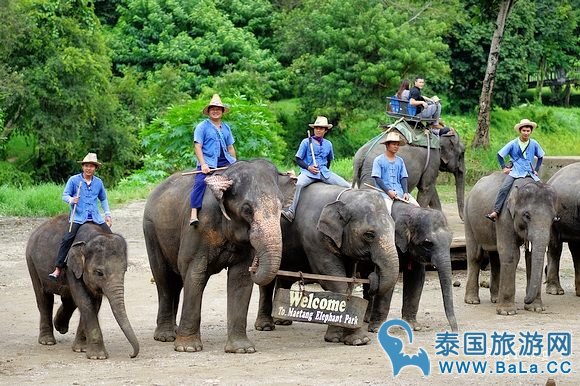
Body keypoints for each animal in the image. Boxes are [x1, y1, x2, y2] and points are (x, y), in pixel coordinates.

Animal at [26, 216, 139, 360]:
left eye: (125, 270)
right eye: (99, 273)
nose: (131, 355)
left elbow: (93, 302)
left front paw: (81, 349)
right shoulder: (70, 266)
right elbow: (85, 301)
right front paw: (98, 357)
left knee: (68, 300)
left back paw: (60, 327)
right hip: (31, 262)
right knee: (44, 299)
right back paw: (47, 341)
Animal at [143, 158, 292, 354]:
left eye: (282, 205)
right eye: (247, 210)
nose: (256, 264)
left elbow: (240, 278)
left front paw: (241, 349)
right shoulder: (197, 229)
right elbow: (195, 274)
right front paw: (188, 348)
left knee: (176, 282)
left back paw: (173, 331)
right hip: (151, 230)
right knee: (164, 279)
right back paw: (166, 337)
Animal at [256, 184, 402, 344]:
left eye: (394, 229)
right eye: (369, 235)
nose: (372, 274)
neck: (344, 197)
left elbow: (347, 281)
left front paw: (344, 339)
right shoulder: (314, 237)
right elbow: (332, 279)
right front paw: (356, 340)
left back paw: (282, 321)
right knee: (267, 282)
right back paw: (265, 327)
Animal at [388, 199, 456, 332]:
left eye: (451, 240)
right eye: (427, 244)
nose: (455, 330)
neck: (410, 210)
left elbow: (416, 277)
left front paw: (413, 326)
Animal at [462, 173, 556, 316]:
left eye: (553, 218)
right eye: (527, 215)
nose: (525, 299)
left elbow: (530, 257)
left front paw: (536, 309)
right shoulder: (504, 217)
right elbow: (511, 254)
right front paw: (507, 312)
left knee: (496, 258)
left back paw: (495, 299)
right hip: (468, 219)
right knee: (475, 256)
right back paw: (472, 301)